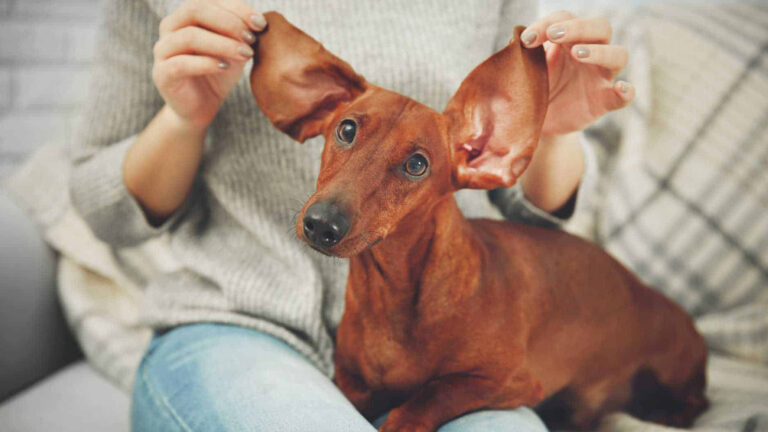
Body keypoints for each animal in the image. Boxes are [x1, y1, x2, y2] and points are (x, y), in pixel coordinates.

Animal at [250, 11, 708, 430]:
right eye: (346, 129)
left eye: (417, 164)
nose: (321, 224)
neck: (393, 294)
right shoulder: (351, 385)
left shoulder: (506, 381)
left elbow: (426, 398)